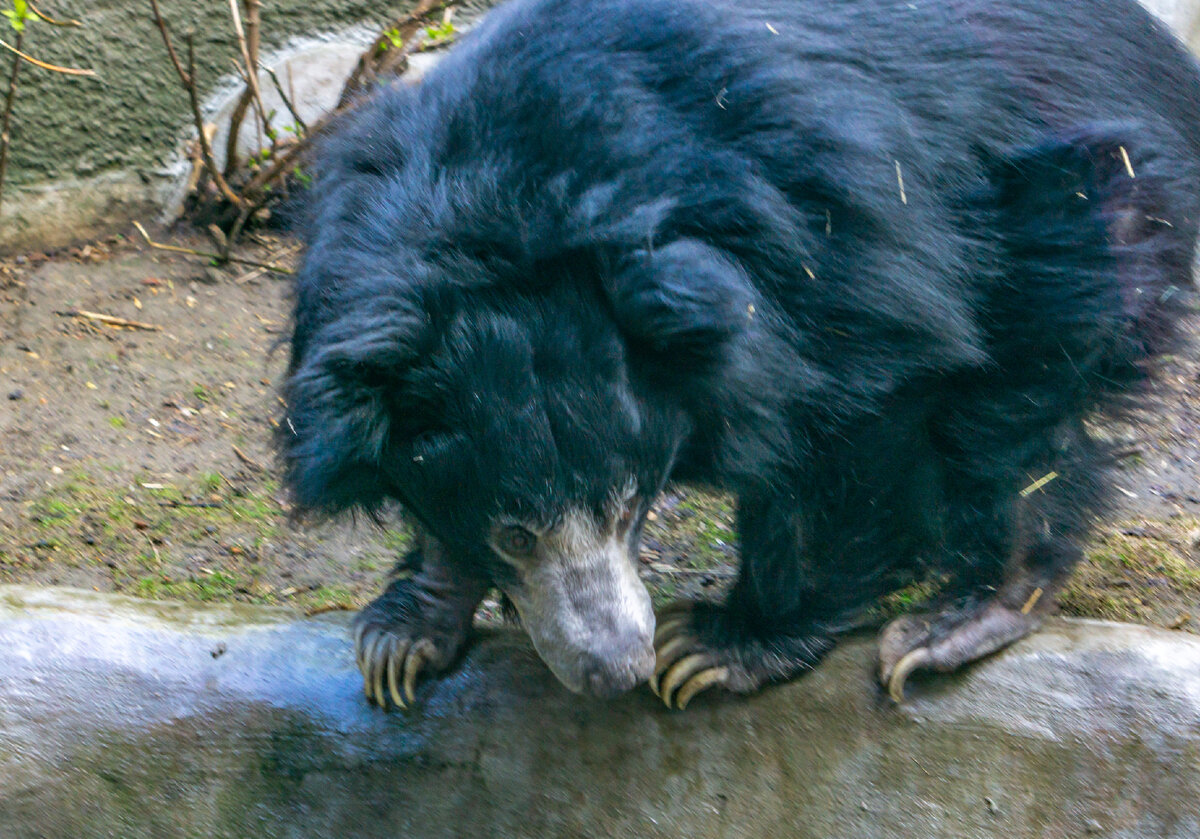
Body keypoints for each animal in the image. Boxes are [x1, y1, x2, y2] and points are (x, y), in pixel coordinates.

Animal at [278, 0, 1200, 710]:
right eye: (513, 535)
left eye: (627, 506)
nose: (614, 666)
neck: (481, 208)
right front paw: (403, 635)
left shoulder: (818, 258)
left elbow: (855, 414)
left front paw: (716, 645)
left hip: (1068, 201)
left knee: (1006, 411)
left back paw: (969, 610)